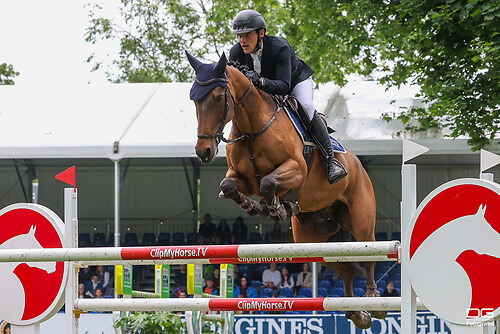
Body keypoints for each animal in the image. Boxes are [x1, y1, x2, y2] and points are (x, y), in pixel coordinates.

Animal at [188, 52, 386, 328]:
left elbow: (268, 183)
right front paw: (259, 206)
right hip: (312, 239)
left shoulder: (296, 169)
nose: (203, 151)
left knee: (369, 253)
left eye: (218, 97)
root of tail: (357, 163)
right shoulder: (241, 178)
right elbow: (229, 186)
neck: (252, 128)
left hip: (361, 219)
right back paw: (356, 313)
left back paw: (373, 299)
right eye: (194, 99)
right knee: (343, 266)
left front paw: (275, 208)